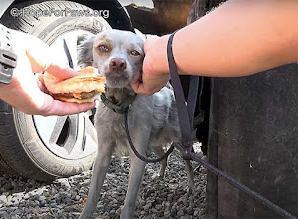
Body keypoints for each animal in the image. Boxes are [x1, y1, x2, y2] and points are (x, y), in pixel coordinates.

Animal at [77, 29, 193, 219]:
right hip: (155, 144)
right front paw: (85, 214)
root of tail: (170, 93)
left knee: (188, 164)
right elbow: (92, 194)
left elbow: (129, 200)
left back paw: (191, 186)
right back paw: (160, 176)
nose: (118, 63)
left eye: (135, 53)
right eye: (103, 47)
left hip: (180, 144)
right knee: (164, 156)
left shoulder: (138, 157)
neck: (121, 108)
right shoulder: (103, 154)